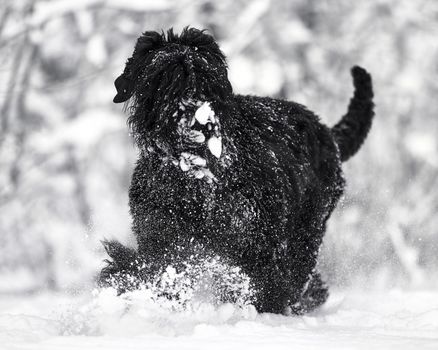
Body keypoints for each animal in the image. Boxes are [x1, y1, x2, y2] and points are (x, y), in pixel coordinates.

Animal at [101, 26, 374, 314]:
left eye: (208, 77)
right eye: (164, 77)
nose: (199, 118)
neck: (197, 179)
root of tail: (328, 134)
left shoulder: (258, 244)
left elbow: (267, 286)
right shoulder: (161, 236)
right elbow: (155, 270)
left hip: (306, 233)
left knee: (298, 278)